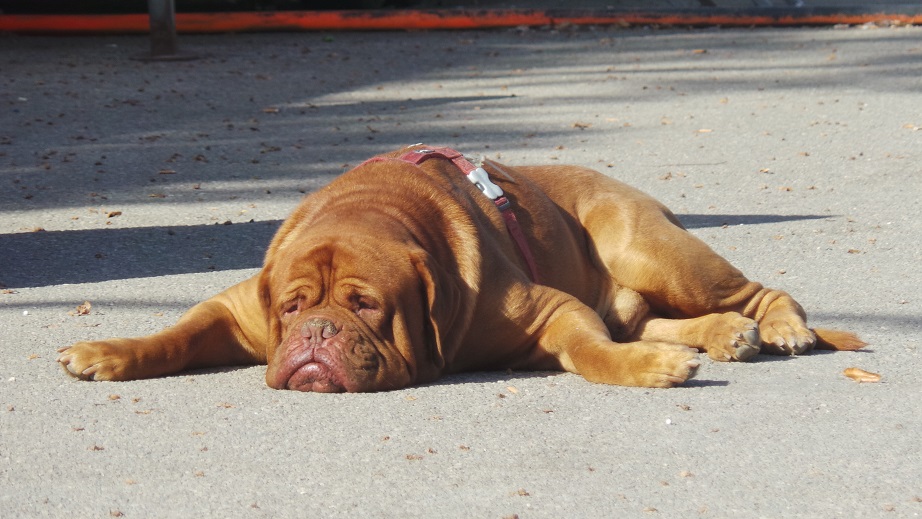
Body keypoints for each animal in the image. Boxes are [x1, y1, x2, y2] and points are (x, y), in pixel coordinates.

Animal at [55, 144, 864, 392]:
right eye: (293, 306)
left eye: (365, 305)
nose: (316, 334)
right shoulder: (236, 309)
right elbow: (177, 334)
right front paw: (107, 350)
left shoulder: (551, 308)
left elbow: (592, 350)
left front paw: (646, 370)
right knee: (650, 317)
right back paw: (725, 335)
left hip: (646, 247)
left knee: (758, 289)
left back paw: (777, 327)